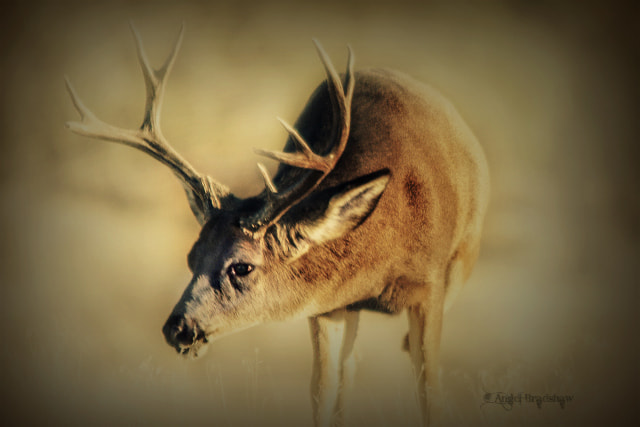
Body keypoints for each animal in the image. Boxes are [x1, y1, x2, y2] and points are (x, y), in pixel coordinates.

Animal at [65, 24, 489, 427]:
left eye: (242, 266)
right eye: (191, 257)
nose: (178, 329)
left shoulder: (429, 287)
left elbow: (429, 391)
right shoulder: (327, 305)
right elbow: (322, 390)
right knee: (349, 369)